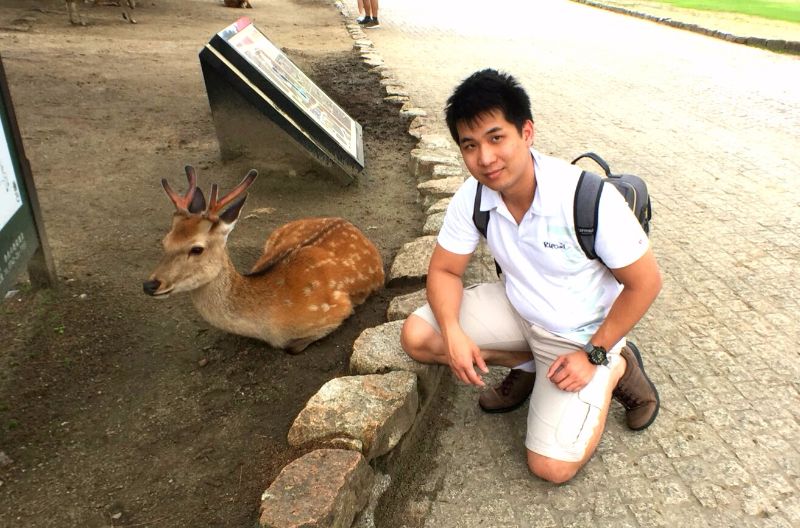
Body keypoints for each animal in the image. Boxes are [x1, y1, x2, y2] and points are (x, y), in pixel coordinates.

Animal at [142, 166, 385, 353]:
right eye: (165, 241)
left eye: (197, 248)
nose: (150, 284)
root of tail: (347, 222)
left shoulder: (336, 311)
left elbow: (292, 347)